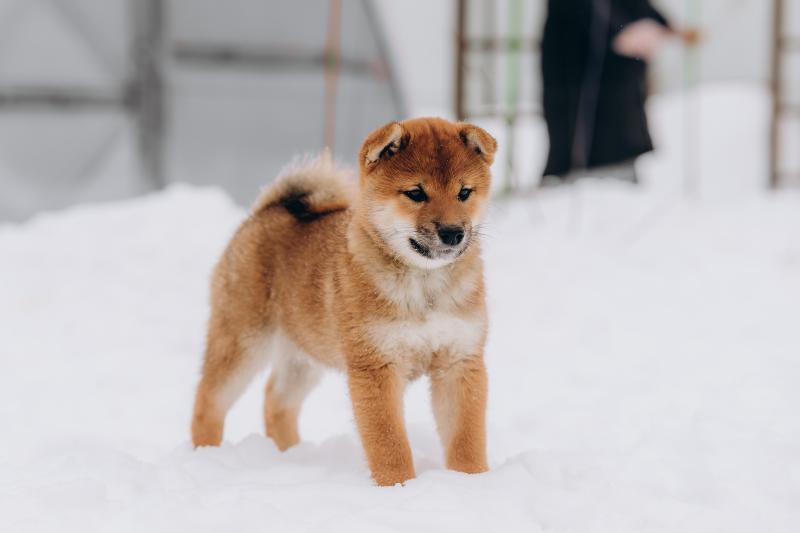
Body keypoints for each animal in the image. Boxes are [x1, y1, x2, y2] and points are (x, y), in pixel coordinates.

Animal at [191, 118, 496, 484]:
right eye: (416, 193)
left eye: (464, 192)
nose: (453, 232)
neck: (425, 288)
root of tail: (269, 210)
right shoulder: (376, 365)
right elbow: (389, 442)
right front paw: (399, 486)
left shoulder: (459, 361)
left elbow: (466, 438)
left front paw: (471, 481)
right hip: (243, 341)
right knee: (209, 400)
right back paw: (205, 456)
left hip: (303, 354)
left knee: (276, 401)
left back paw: (292, 456)